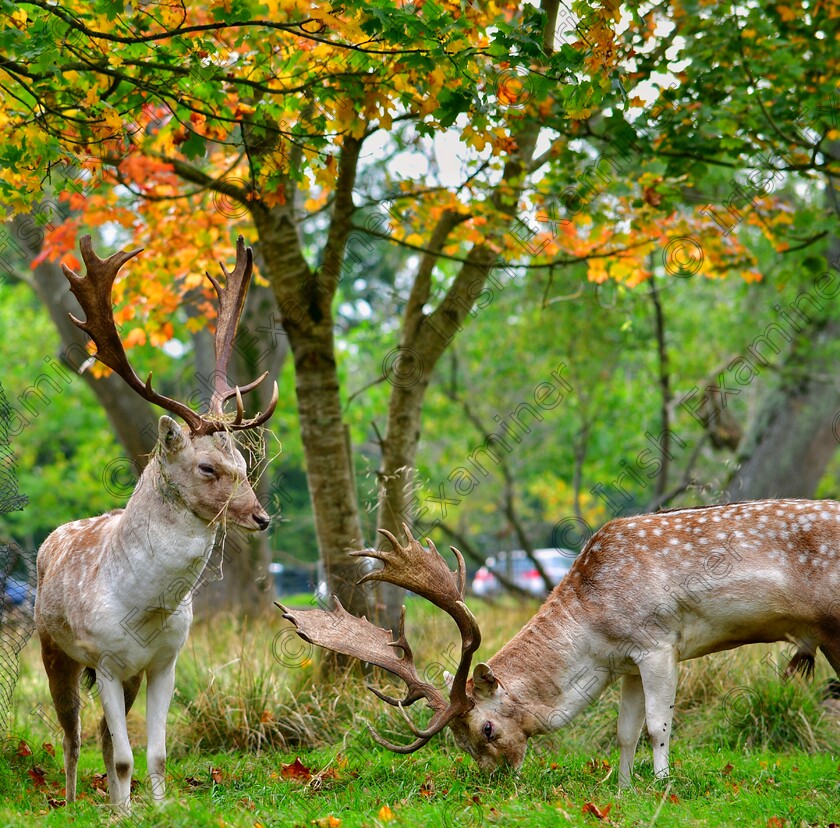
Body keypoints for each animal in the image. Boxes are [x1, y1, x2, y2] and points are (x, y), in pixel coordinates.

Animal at [34, 233, 278, 808]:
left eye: (243, 462)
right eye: (207, 467)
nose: (261, 517)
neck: (143, 611)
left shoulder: (165, 661)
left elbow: (156, 752)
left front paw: (157, 807)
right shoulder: (103, 658)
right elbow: (123, 754)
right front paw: (124, 813)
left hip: (122, 676)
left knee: (101, 735)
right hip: (54, 649)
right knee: (72, 735)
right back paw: (74, 802)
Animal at [280, 502, 840, 784]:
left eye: (486, 729)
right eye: (459, 744)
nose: (494, 781)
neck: (597, 632)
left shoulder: (658, 641)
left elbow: (658, 725)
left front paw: (662, 785)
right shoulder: (628, 662)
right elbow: (624, 732)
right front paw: (624, 788)